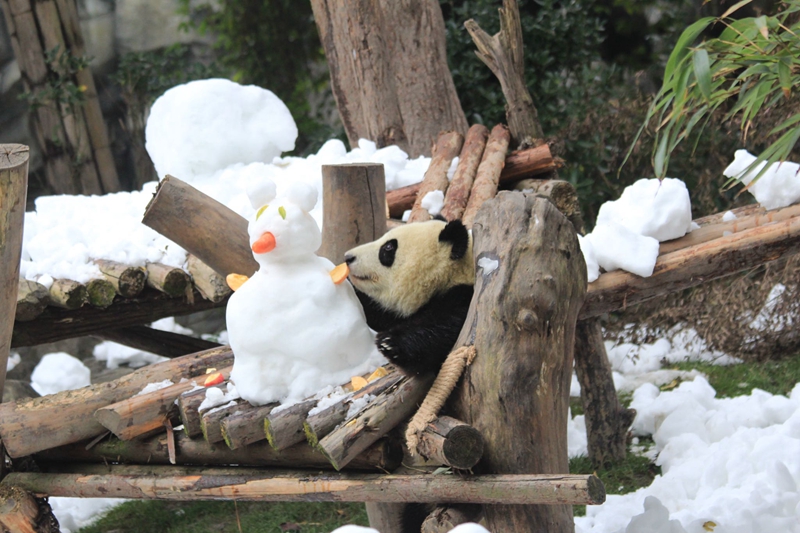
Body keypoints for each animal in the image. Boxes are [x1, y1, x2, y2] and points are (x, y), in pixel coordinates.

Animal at [344, 216, 476, 374]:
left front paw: (390, 343)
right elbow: (380, 314)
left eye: (388, 247)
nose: (348, 257)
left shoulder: (464, 300)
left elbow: (440, 333)